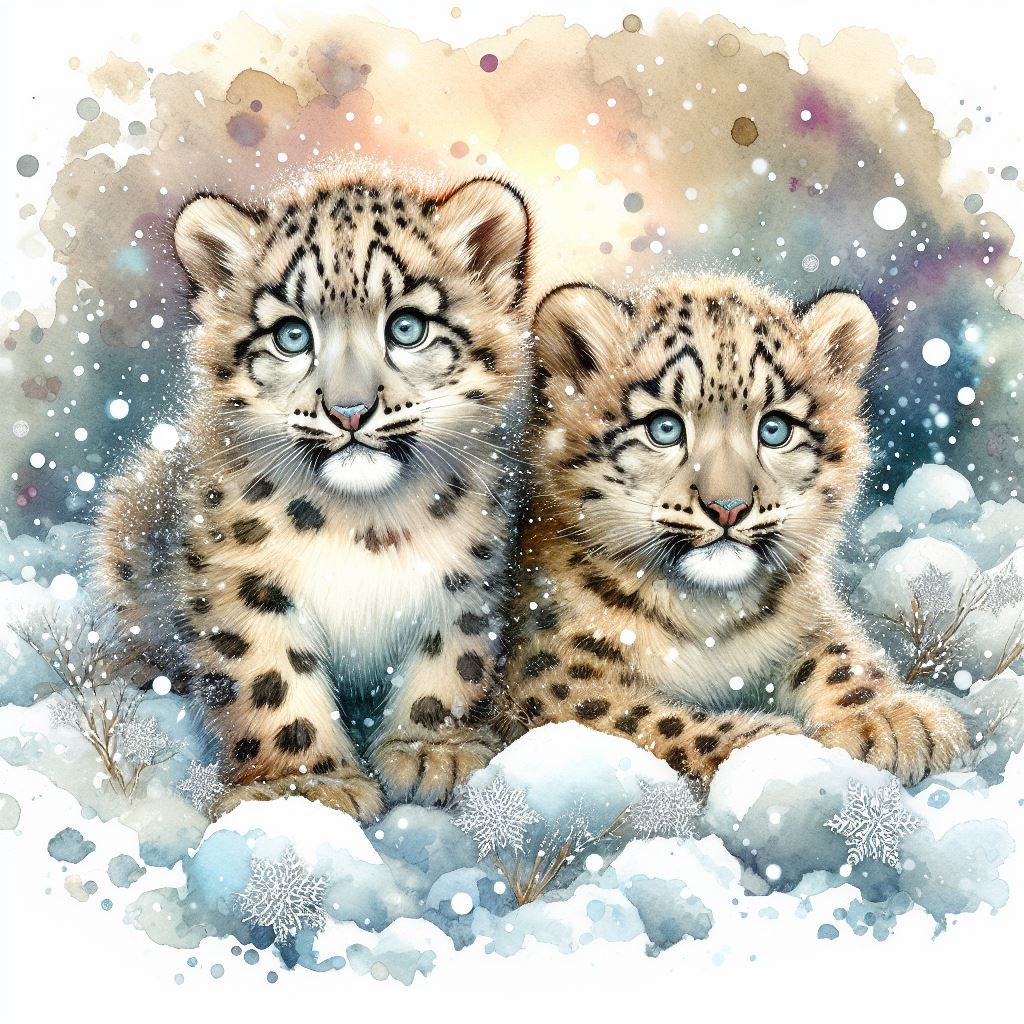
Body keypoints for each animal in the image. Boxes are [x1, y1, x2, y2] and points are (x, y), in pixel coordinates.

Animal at [94, 170, 533, 820]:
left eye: (407, 327)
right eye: (291, 335)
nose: (349, 410)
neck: (366, 522)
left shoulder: (466, 571)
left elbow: (454, 655)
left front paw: (433, 750)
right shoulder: (241, 579)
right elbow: (269, 679)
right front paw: (304, 785)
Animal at [501, 274, 967, 788]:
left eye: (775, 428)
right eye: (664, 428)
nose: (728, 508)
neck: (709, 617)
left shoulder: (807, 617)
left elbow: (840, 654)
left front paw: (893, 719)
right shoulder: (549, 674)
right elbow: (638, 719)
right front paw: (770, 746)